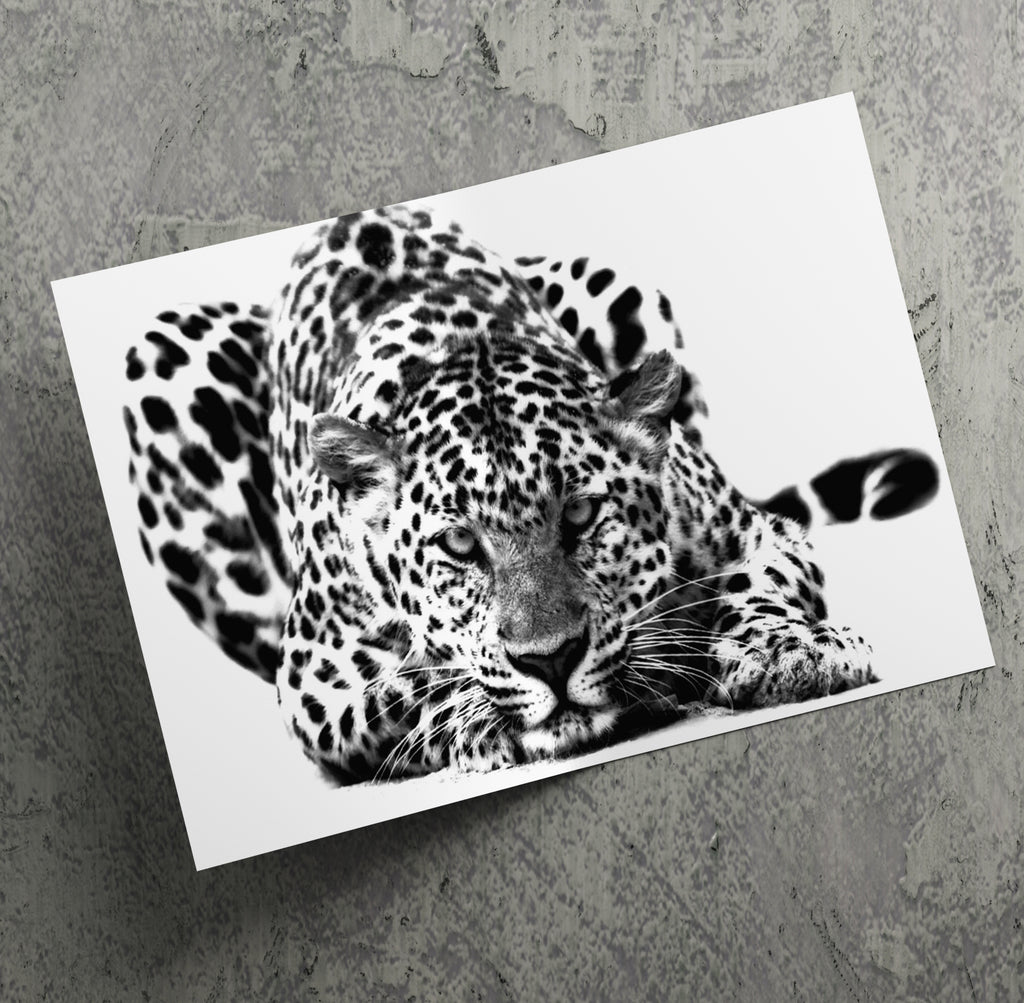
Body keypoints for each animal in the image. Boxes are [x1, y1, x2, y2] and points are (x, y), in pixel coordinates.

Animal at [122, 203, 939, 784]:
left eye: (580, 513)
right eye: (458, 544)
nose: (551, 660)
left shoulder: (756, 530)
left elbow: (756, 584)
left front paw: (789, 648)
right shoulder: (313, 681)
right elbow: (416, 682)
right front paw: (486, 714)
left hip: (620, 286)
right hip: (158, 358)